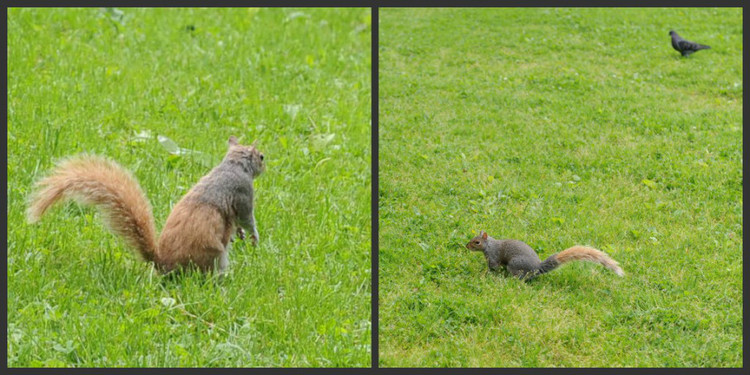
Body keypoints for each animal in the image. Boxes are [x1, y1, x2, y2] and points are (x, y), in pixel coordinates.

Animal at [27, 137, 268, 274]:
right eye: (261, 156)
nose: (266, 166)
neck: (234, 164)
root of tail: (163, 264)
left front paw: (241, 235)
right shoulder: (243, 193)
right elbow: (248, 218)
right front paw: (254, 236)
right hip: (215, 255)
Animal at [468, 231, 624, 280]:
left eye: (477, 242)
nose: (466, 245)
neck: (489, 245)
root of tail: (537, 268)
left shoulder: (493, 256)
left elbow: (492, 267)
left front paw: (484, 274)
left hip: (514, 265)